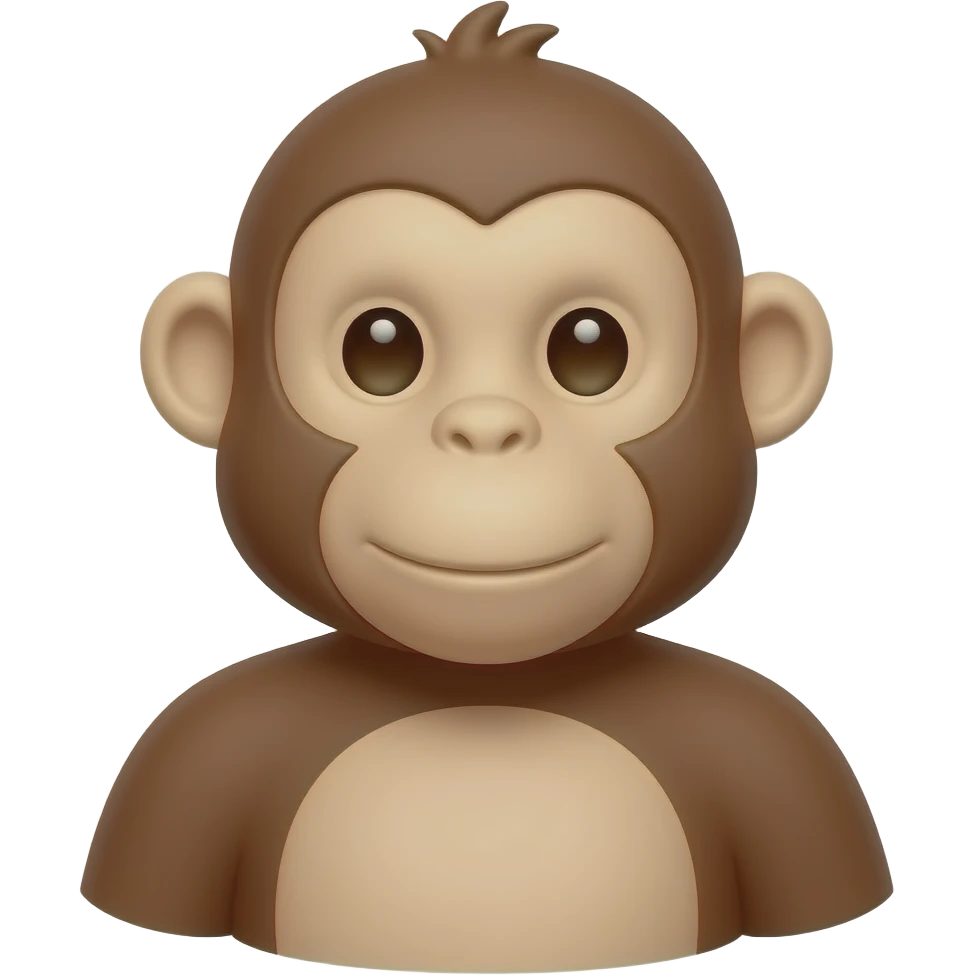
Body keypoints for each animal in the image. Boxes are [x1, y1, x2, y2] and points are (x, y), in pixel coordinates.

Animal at [82, 3, 892, 971]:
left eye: (589, 347)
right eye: (380, 347)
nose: (485, 429)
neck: (486, 695)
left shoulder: (790, 764)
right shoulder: (181, 764)